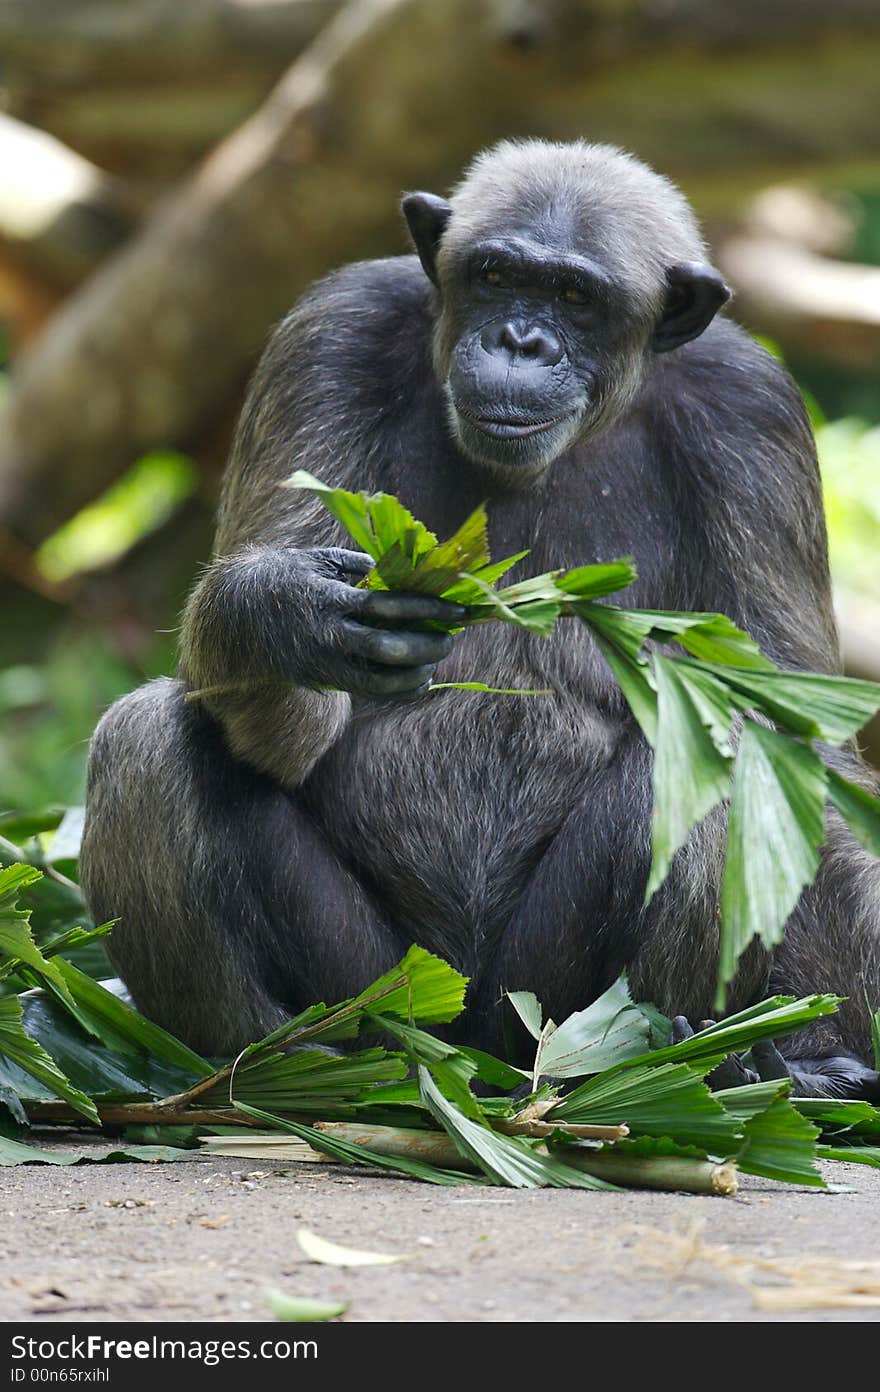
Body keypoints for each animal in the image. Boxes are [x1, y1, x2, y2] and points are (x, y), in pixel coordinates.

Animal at [80, 141, 880, 1096]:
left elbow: (799, 731)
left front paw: (820, 1048)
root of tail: (470, 1060)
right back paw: (269, 1065)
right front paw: (285, 614)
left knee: (725, 753)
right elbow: (273, 718)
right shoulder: (328, 338)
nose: (521, 340)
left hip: (537, 997)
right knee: (146, 739)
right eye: (496, 275)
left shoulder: (756, 422)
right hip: (378, 986)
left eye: (575, 297)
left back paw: (686, 1065)